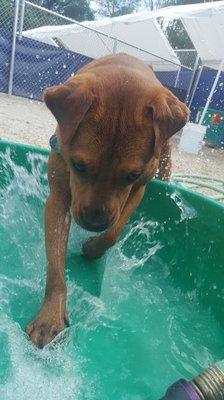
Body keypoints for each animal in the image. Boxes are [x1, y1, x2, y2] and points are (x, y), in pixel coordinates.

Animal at [25, 52, 188, 346]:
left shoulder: (139, 188)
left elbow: (114, 232)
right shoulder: (58, 199)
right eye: (78, 165)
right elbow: (55, 263)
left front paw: (93, 248)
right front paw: (49, 317)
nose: (93, 224)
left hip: (166, 152)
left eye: (131, 174)